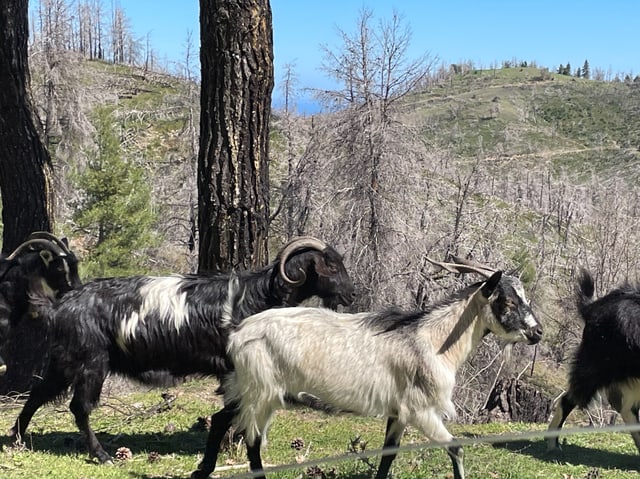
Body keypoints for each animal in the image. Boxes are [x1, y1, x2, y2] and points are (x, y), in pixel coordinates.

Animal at [11, 236, 356, 464]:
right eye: (330, 266)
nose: (352, 294)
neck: (258, 296)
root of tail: (63, 302)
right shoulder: (236, 369)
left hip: (64, 359)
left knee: (38, 394)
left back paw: (16, 441)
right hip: (90, 362)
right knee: (79, 407)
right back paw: (102, 455)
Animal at [192, 258, 544, 479]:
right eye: (508, 302)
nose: (537, 332)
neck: (430, 340)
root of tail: (237, 330)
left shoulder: (399, 412)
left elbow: (388, 454)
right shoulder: (421, 410)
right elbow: (456, 449)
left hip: (250, 388)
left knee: (223, 420)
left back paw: (203, 470)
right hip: (260, 389)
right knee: (250, 436)